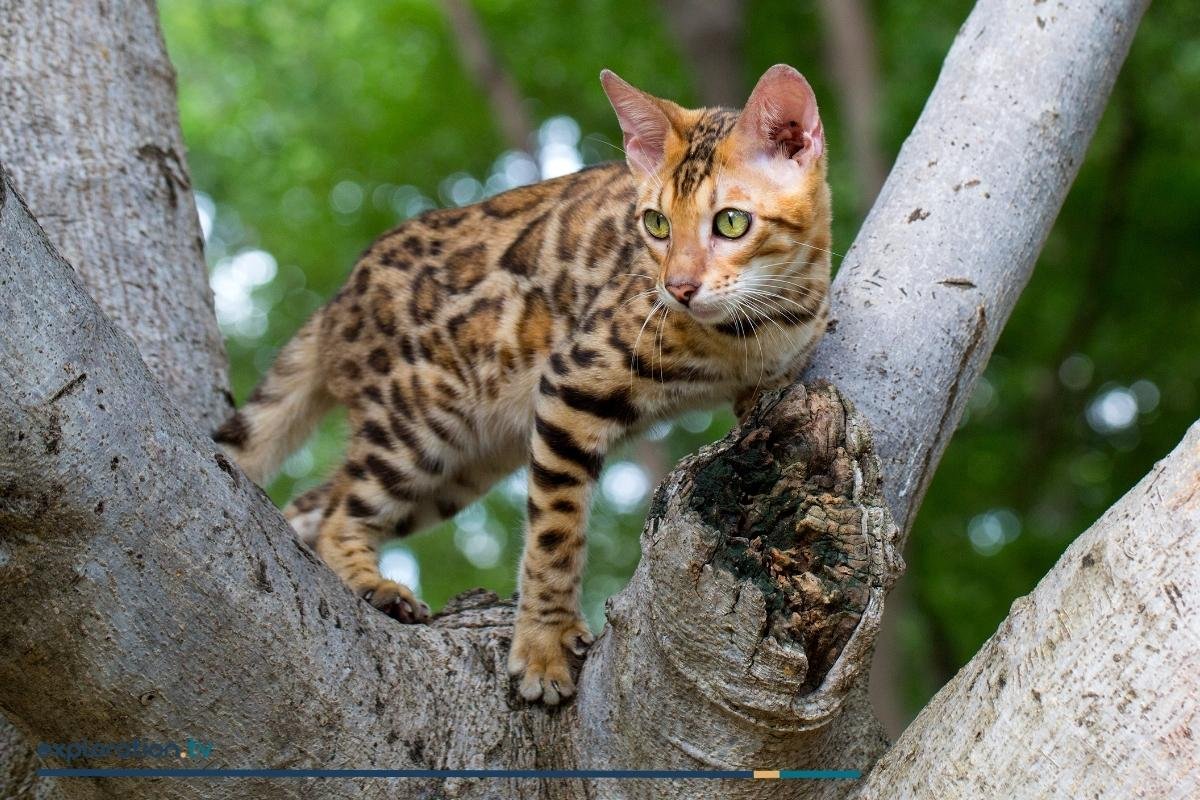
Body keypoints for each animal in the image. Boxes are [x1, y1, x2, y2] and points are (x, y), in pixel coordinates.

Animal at [216, 65, 830, 705]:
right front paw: (543, 646)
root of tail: (340, 297)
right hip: (418, 424)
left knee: (312, 504)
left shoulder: (772, 381)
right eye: (656, 224)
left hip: (464, 464)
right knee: (340, 511)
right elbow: (554, 531)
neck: (748, 335)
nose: (678, 288)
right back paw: (373, 585)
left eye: (731, 222)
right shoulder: (572, 381)